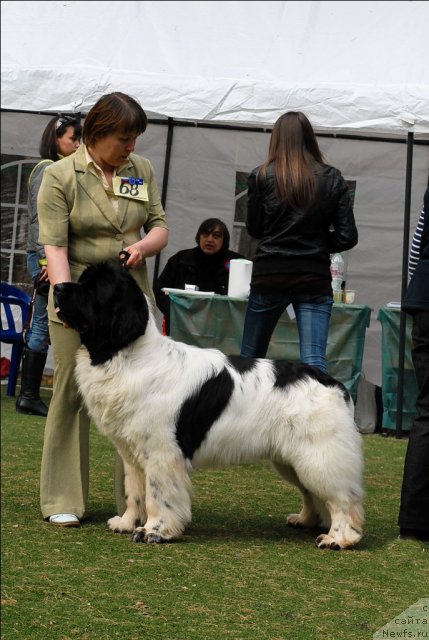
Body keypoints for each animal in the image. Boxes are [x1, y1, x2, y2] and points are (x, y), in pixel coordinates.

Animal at [51, 260, 362, 552]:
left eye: (92, 289)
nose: (57, 287)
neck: (125, 354)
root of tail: (332, 383)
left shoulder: (162, 454)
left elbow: (157, 496)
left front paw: (153, 531)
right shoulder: (132, 453)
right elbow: (135, 491)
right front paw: (127, 523)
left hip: (319, 455)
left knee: (342, 498)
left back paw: (339, 538)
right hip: (292, 459)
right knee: (312, 493)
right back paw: (306, 520)